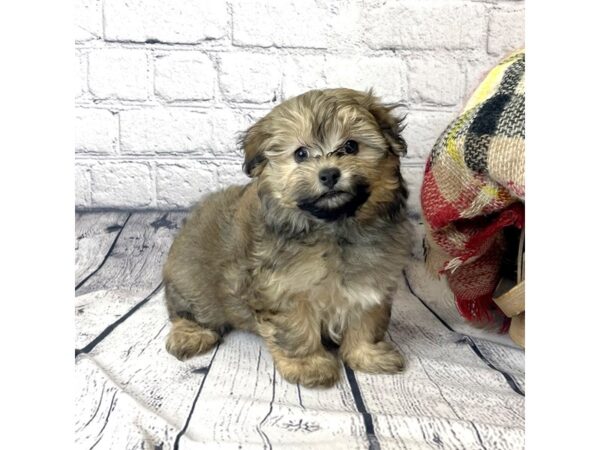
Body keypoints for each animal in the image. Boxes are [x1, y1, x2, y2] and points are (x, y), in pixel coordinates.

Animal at [163, 88, 412, 386]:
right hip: (193, 280)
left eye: (351, 146)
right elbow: (295, 329)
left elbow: (365, 322)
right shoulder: (283, 290)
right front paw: (309, 365)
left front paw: (368, 355)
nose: (329, 174)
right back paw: (191, 334)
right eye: (301, 154)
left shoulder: (370, 281)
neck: (333, 228)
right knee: (188, 311)